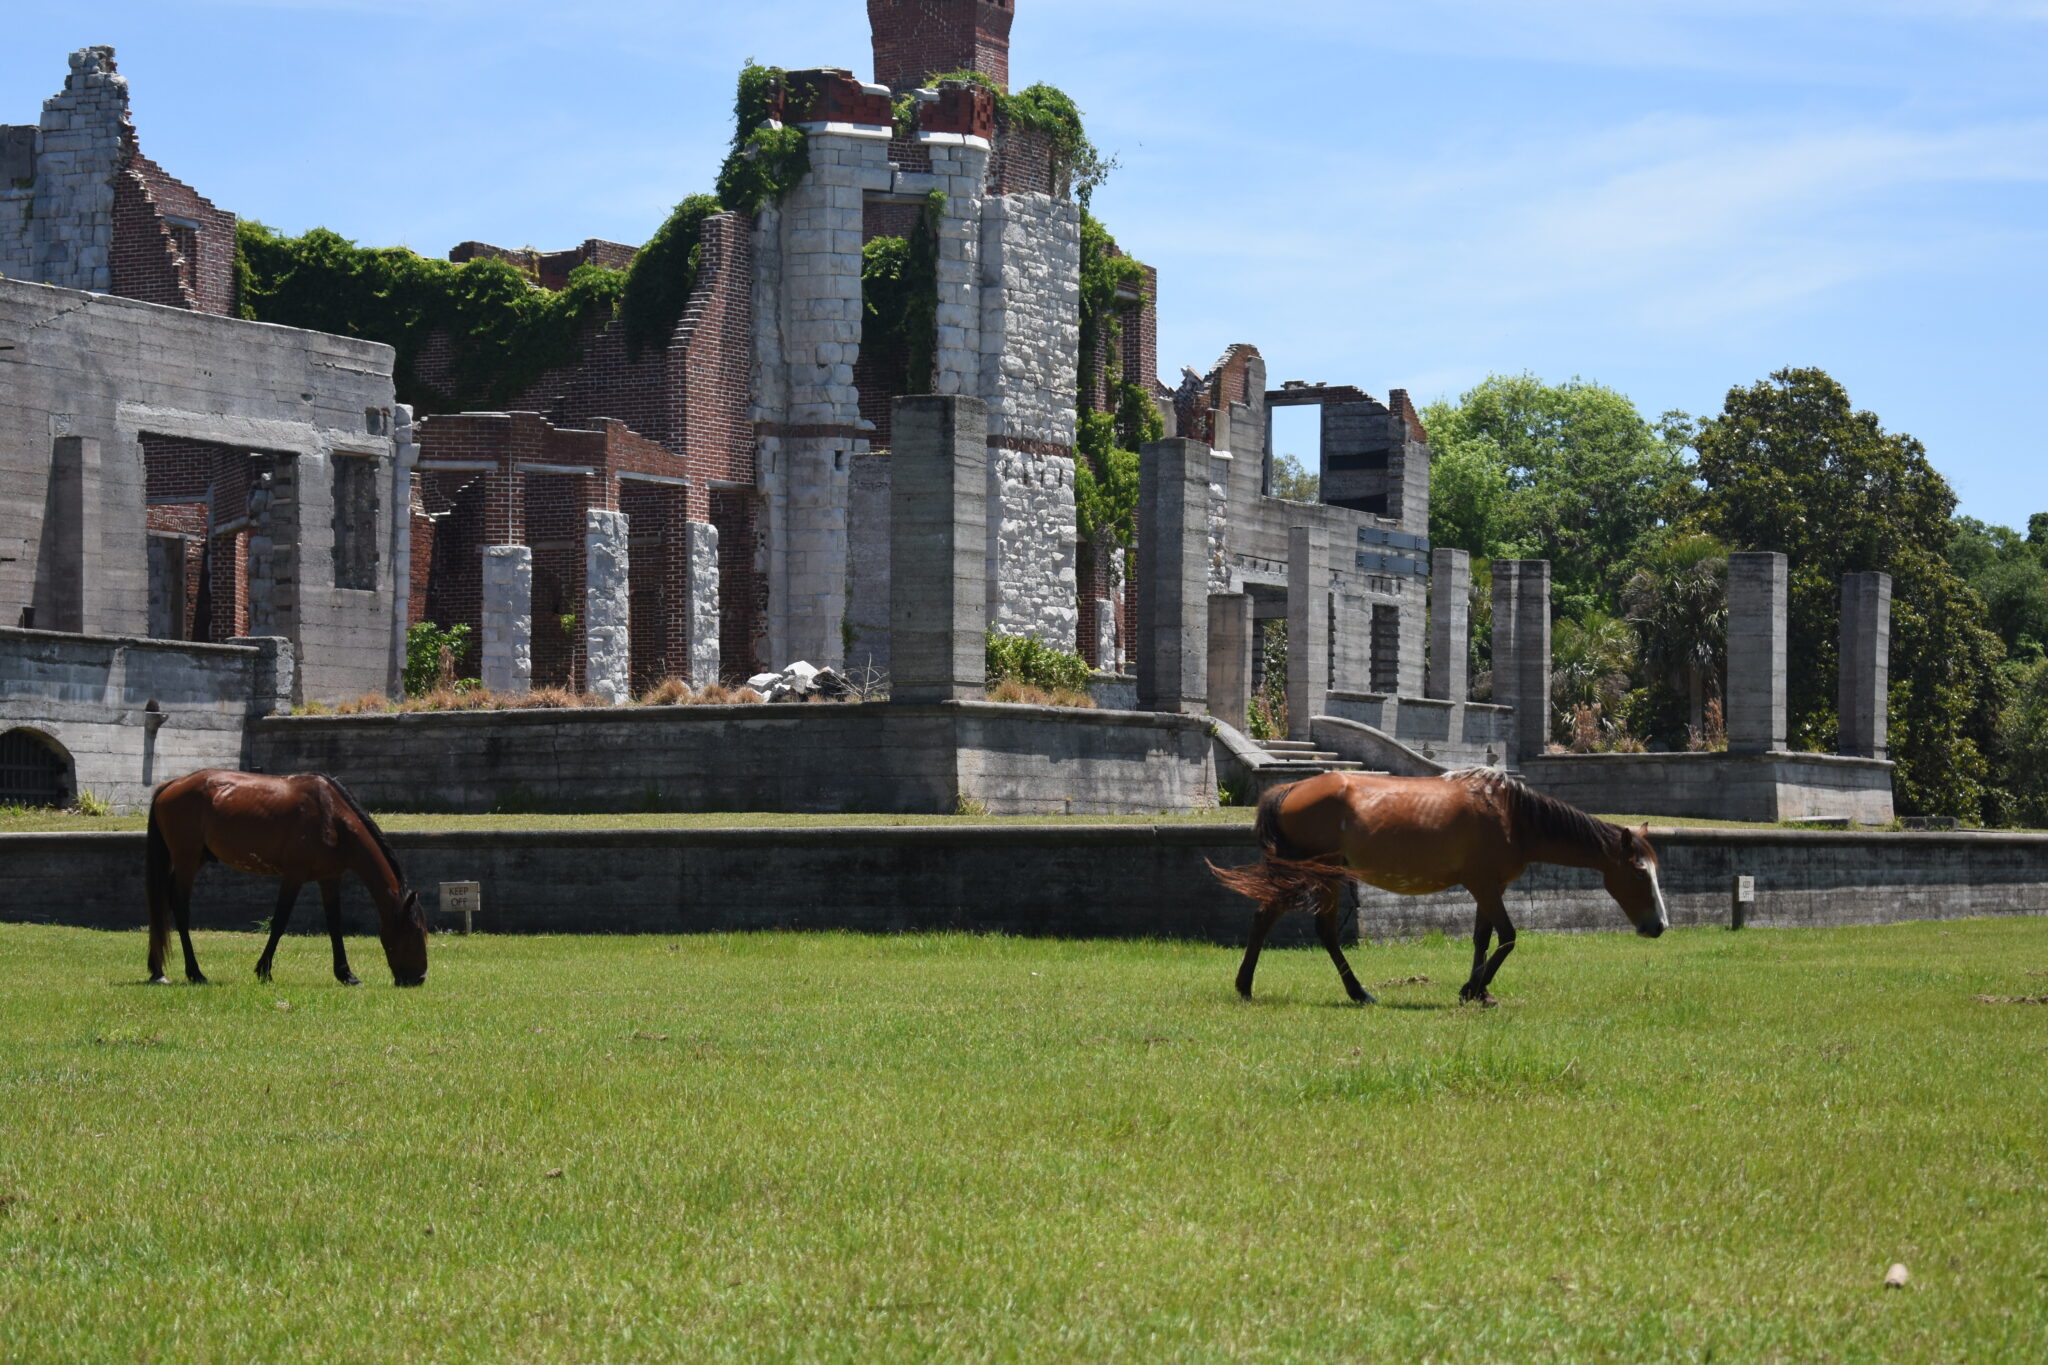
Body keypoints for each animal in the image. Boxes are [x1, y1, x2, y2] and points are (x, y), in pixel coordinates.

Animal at [145, 770, 428, 987]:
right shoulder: (294, 876)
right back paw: (195, 972)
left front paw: (346, 974)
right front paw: (264, 970)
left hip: (195, 859)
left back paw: (158, 970)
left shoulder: (330, 878)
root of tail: (172, 784)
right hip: (186, 860)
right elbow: (280, 922)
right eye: (414, 932)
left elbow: (334, 925)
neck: (331, 816)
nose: (419, 978)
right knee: (180, 908)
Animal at [1211, 768, 1668, 1006]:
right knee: (1281, 921)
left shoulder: (1490, 888)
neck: (1513, 816)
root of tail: (1289, 787)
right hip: (1320, 873)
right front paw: (1475, 990)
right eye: (1639, 872)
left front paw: (1477, 991)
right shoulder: (1484, 885)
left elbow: (1483, 937)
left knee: (1302, 926)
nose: (1659, 925)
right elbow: (1508, 937)